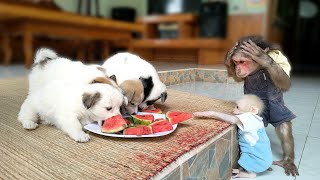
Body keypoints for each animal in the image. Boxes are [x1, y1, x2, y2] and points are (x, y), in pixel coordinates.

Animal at [224, 35, 298, 176]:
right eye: (236, 62)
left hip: (276, 109)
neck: (257, 70)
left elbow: (285, 82)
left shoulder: (277, 56)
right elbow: (237, 78)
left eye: (242, 62)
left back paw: (287, 160)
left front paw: (263, 57)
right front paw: (228, 58)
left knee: (283, 125)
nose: (238, 68)